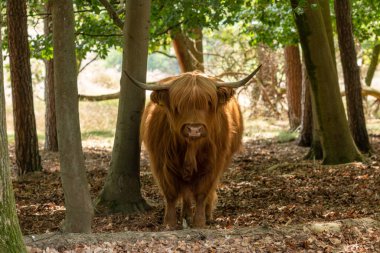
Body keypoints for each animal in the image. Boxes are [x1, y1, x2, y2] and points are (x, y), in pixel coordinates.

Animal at [127, 66, 262, 228]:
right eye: (178, 105)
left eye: (209, 103)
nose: (194, 129)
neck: (191, 147)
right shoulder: (161, 162)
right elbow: (170, 193)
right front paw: (170, 223)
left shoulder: (213, 163)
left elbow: (202, 192)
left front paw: (199, 222)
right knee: (185, 191)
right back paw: (186, 215)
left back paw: (207, 214)